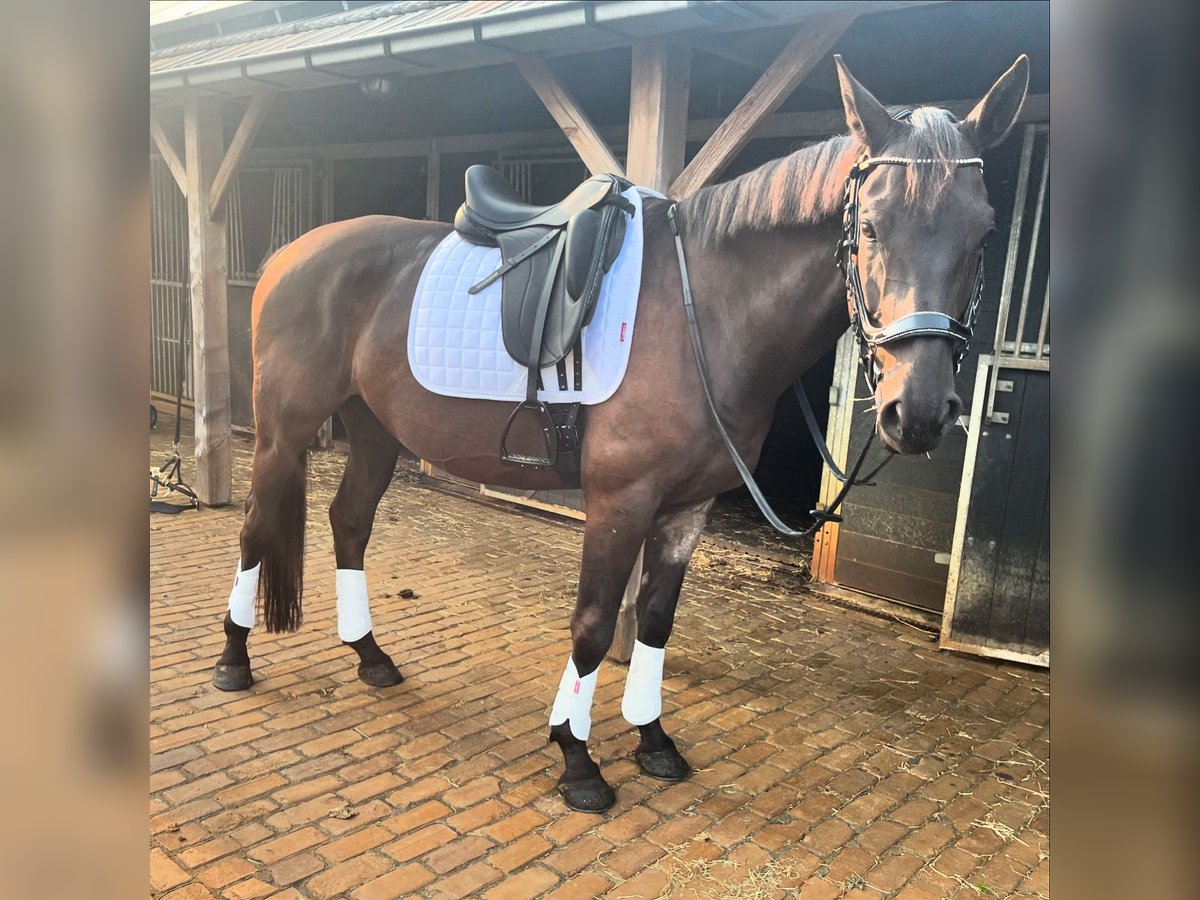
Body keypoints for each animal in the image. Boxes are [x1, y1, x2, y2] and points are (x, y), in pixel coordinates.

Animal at [211, 58, 1027, 816]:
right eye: (871, 227)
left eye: (984, 233)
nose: (917, 412)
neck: (706, 313)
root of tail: (290, 255)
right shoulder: (620, 500)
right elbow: (596, 625)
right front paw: (577, 761)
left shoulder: (687, 508)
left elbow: (656, 623)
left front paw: (652, 738)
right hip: (282, 432)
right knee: (255, 529)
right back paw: (234, 660)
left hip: (376, 432)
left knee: (348, 522)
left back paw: (370, 656)